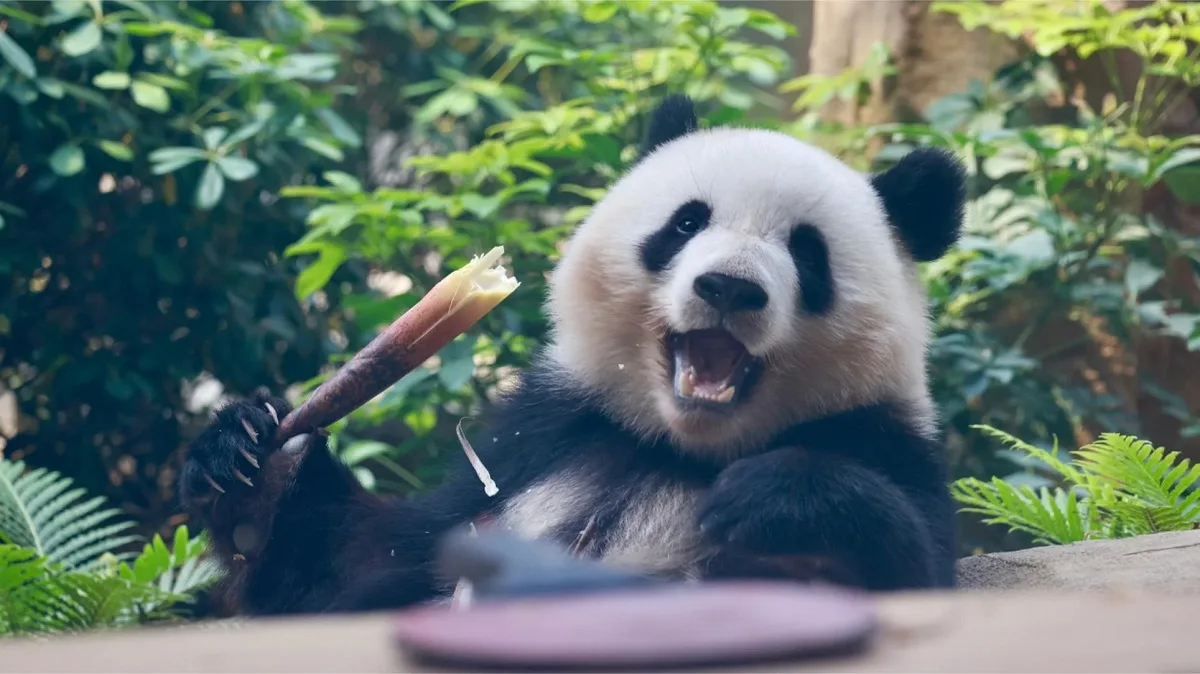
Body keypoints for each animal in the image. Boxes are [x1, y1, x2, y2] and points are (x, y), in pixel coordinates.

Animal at [178, 94, 966, 616]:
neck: (677, 446)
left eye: (807, 252)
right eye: (687, 224)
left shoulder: (881, 441)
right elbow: (361, 565)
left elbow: (912, 569)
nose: (729, 287)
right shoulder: (546, 434)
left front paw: (781, 504)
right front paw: (250, 465)